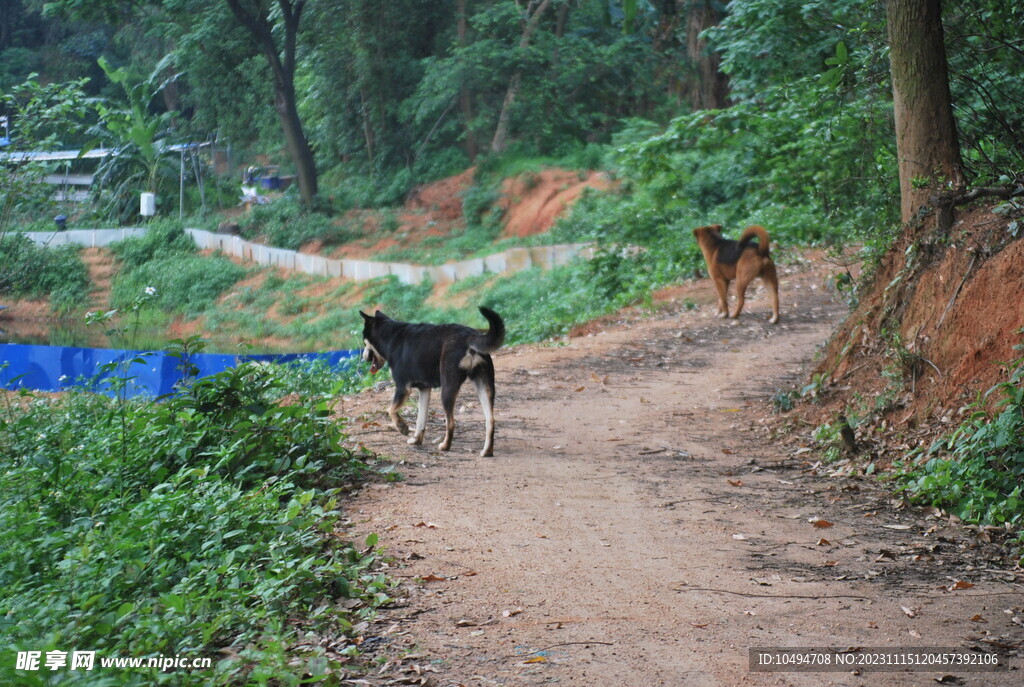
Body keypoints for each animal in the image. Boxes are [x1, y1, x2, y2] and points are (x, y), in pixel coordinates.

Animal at [362, 307, 505, 456]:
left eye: (364, 341)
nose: (364, 357)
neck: (390, 337)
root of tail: (469, 335)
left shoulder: (402, 388)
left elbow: (391, 410)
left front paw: (402, 427)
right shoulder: (424, 389)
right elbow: (420, 419)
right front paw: (416, 439)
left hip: (447, 389)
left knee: (451, 422)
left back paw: (445, 446)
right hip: (484, 386)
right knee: (490, 420)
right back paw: (487, 451)